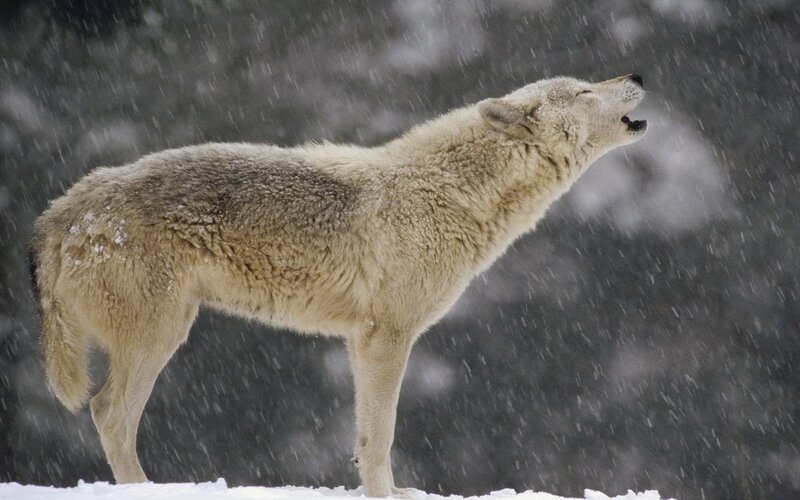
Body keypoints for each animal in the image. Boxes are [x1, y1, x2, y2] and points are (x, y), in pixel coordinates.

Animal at [30, 74, 647, 497]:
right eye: (585, 89)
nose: (638, 75)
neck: (449, 193)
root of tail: (63, 210)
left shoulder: (360, 341)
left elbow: (365, 436)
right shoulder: (388, 337)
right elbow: (383, 434)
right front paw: (386, 495)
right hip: (159, 336)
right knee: (109, 415)